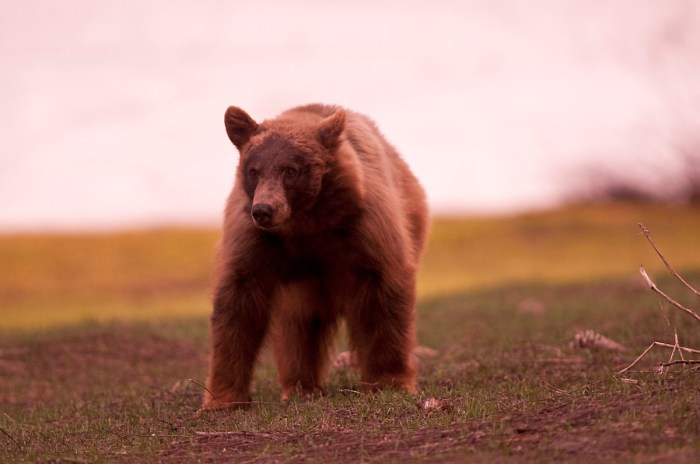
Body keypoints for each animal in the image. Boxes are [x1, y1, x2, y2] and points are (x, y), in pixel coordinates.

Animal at [202, 104, 429, 409]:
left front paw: (390, 382)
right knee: (299, 324)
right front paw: (222, 399)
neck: (307, 223)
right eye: (253, 170)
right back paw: (301, 386)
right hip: (302, 286)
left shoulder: (366, 226)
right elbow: (238, 303)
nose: (263, 210)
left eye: (290, 170)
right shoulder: (255, 239)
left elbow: (383, 293)